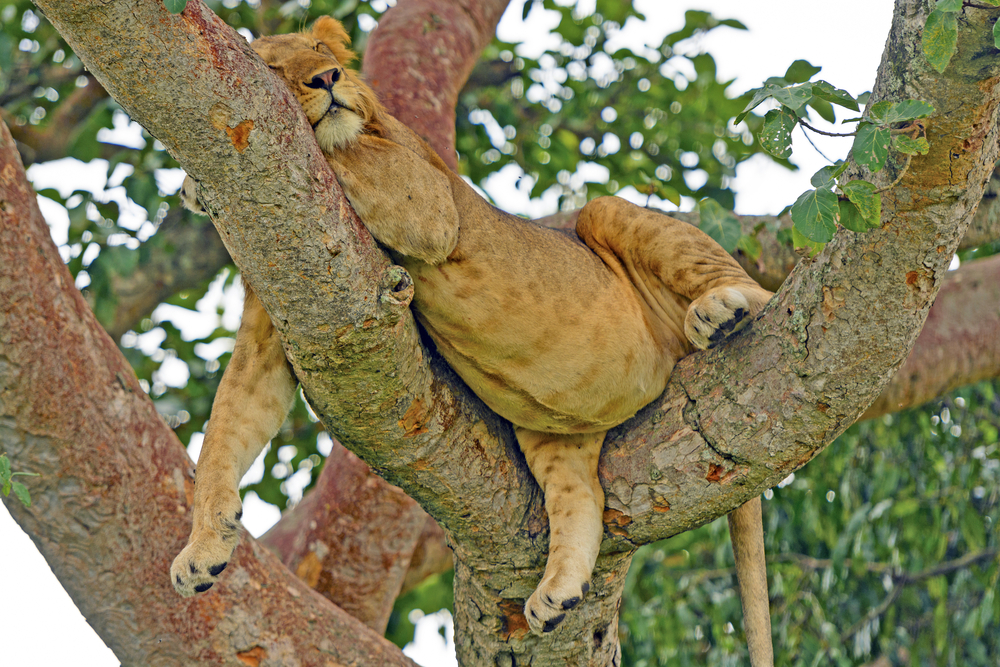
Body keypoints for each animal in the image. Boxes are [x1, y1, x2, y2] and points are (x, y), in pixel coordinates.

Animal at [172, 16, 775, 665]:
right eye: (275, 68)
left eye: (322, 52)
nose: (327, 79)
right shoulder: (279, 310)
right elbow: (227, 428)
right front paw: (201, 550)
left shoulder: (427, 201)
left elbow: (347, 148)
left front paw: (191, 186)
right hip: (553, 424)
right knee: (580, 497)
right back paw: (557, 594)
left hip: (607, 216)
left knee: (754, 288)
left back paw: (721, 313)